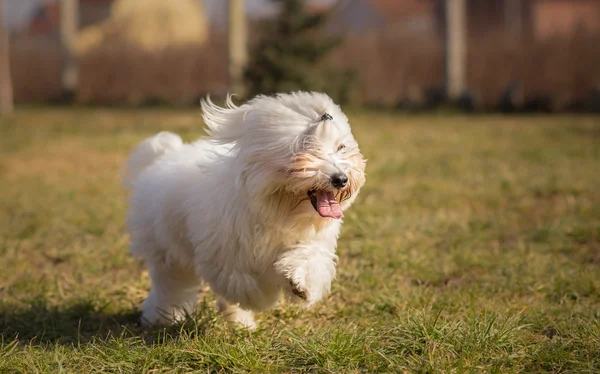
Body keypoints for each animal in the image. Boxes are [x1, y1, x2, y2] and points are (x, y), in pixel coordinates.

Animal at [122, 92, 366, 328]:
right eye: (307, 147)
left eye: (341, 147)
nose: (341, 179)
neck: (280, 210)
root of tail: (163, 155)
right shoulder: (226, 257)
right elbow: (246, 286)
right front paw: (266, 296)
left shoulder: (311, 241)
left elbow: (310, 260)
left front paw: (299, 284)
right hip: (165, 248)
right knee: (170, 285)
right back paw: (160, 318)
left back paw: (239, 322)